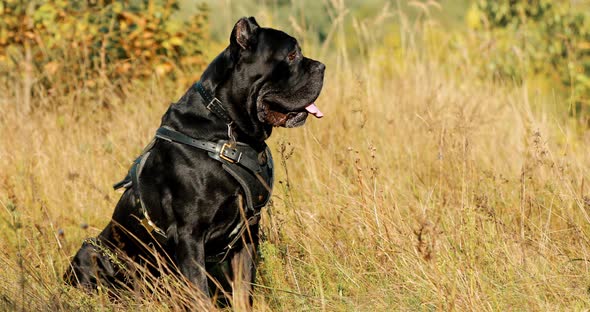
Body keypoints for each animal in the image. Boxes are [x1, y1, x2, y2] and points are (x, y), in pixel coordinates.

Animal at [65, 15, 326, 304]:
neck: (228, 126)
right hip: (91, 249)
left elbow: (243, 289)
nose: (322, 66)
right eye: (292, 55)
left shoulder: (247, 234)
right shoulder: (189, 236)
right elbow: (200, 293)